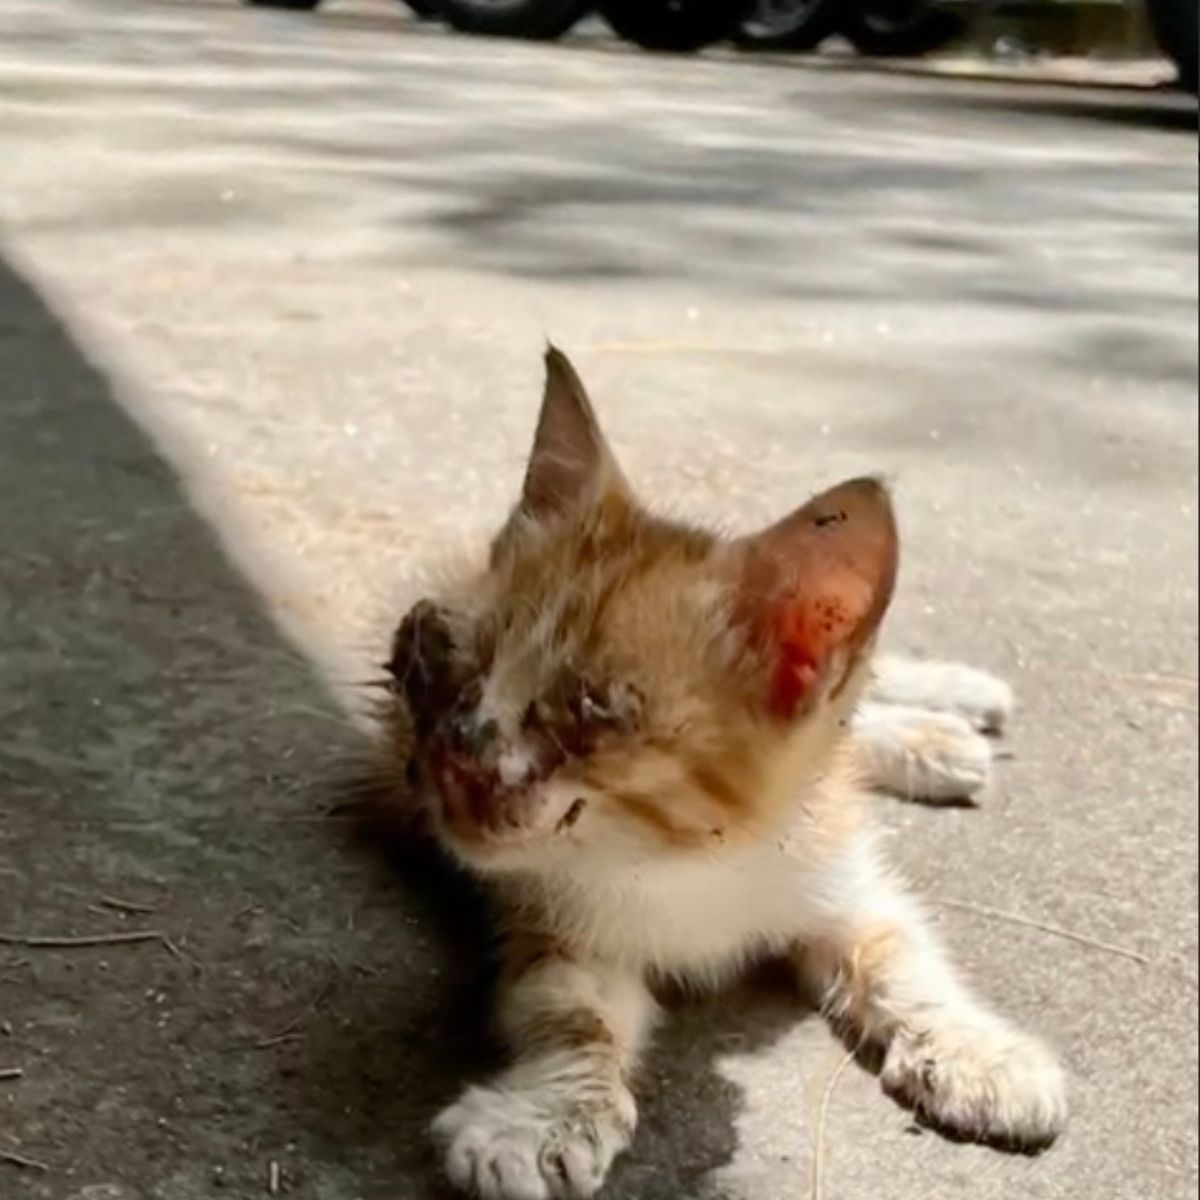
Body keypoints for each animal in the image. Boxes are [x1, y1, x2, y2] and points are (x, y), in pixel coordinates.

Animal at [381, 350, 1060, 1200]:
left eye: (590, 708)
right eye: (456, 672)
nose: (454, 751)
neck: (693, 861)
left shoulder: (835, 870)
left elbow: (904, 957)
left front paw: (978, 1050)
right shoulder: (557, 926)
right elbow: (572, 1018)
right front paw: (545, 1120)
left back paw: (950, 709)